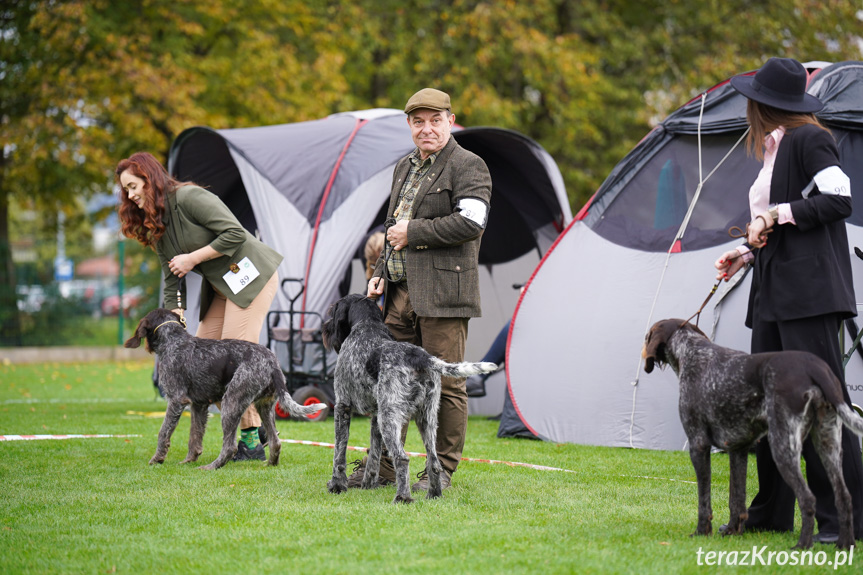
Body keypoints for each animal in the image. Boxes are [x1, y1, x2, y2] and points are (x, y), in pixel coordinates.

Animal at [127, 308, 328, 470]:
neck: (173, 341)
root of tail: (272, 361)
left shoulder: (176, 401)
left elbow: (164, 432)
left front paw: (157, 459)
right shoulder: (199, 406)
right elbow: (195, 436)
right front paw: (189, 460)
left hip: (231, 402)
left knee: (230, 446)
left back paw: (212, 466)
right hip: (265, 406)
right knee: (275, 441)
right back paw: (270, 463)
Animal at [318, 294, 496, 506]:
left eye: (333, 310)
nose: (326, 327)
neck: (367, 325)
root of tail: (421, 357)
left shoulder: (342, 406)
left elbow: (339, 453)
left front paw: (337, 486)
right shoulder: (375, 416)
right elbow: (374, 456)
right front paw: (368, 484)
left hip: (389, 419)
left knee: (402, 458)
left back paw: (403, 497)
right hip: (425, 419)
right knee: (433, 461)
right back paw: (433, 495)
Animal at [640, 320, 863, 548]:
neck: (692, 351)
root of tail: (815, 367)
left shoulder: (698, 444)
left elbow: (704, 499)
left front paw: (702, 532)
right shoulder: (738, 449)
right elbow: (736, 499)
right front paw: (732, 531)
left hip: (782, 446)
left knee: (808, 499)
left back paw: (802, 546)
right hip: (828, 444)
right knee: (844, 497)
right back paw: (845, 545)